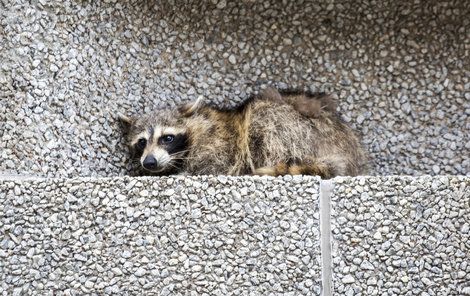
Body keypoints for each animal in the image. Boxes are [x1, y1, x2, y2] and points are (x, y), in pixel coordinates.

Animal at [118, 88, 368, 178]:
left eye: (167, 138)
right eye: (141, 142)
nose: (149, 162)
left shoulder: (218, 146)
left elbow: (210, 167)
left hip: (296, 129)